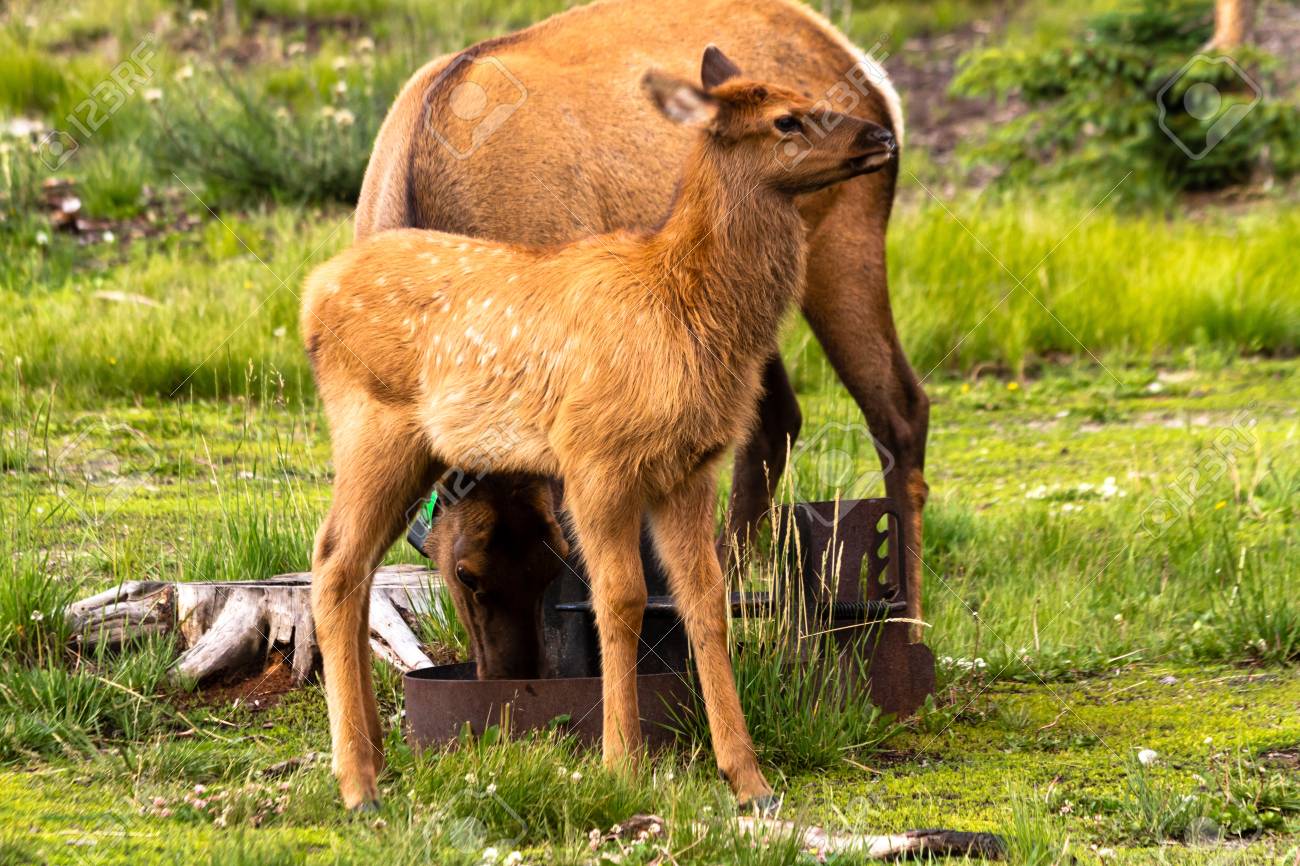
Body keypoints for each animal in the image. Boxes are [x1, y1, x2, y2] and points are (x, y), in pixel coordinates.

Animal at [303, 45, 898, 811]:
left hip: (414, 451)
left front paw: (749, 780)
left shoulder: (690, 469)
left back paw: (373, 761)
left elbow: (705, 598)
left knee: (356, 565)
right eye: (786, 119)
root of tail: (310, 298)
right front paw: (622, 764)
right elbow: (620, 600)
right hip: (372, 427)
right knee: (333, 560)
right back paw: (357, 784)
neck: (683, 308)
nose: (881, 136)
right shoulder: (595, 458)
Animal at [355, 0, 931, 678]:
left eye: (550, 564)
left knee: (900, 408)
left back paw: (911, 629)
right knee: (777, 422)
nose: (513, 676)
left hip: (844, 232)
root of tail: (872, 78)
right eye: (464, 573)